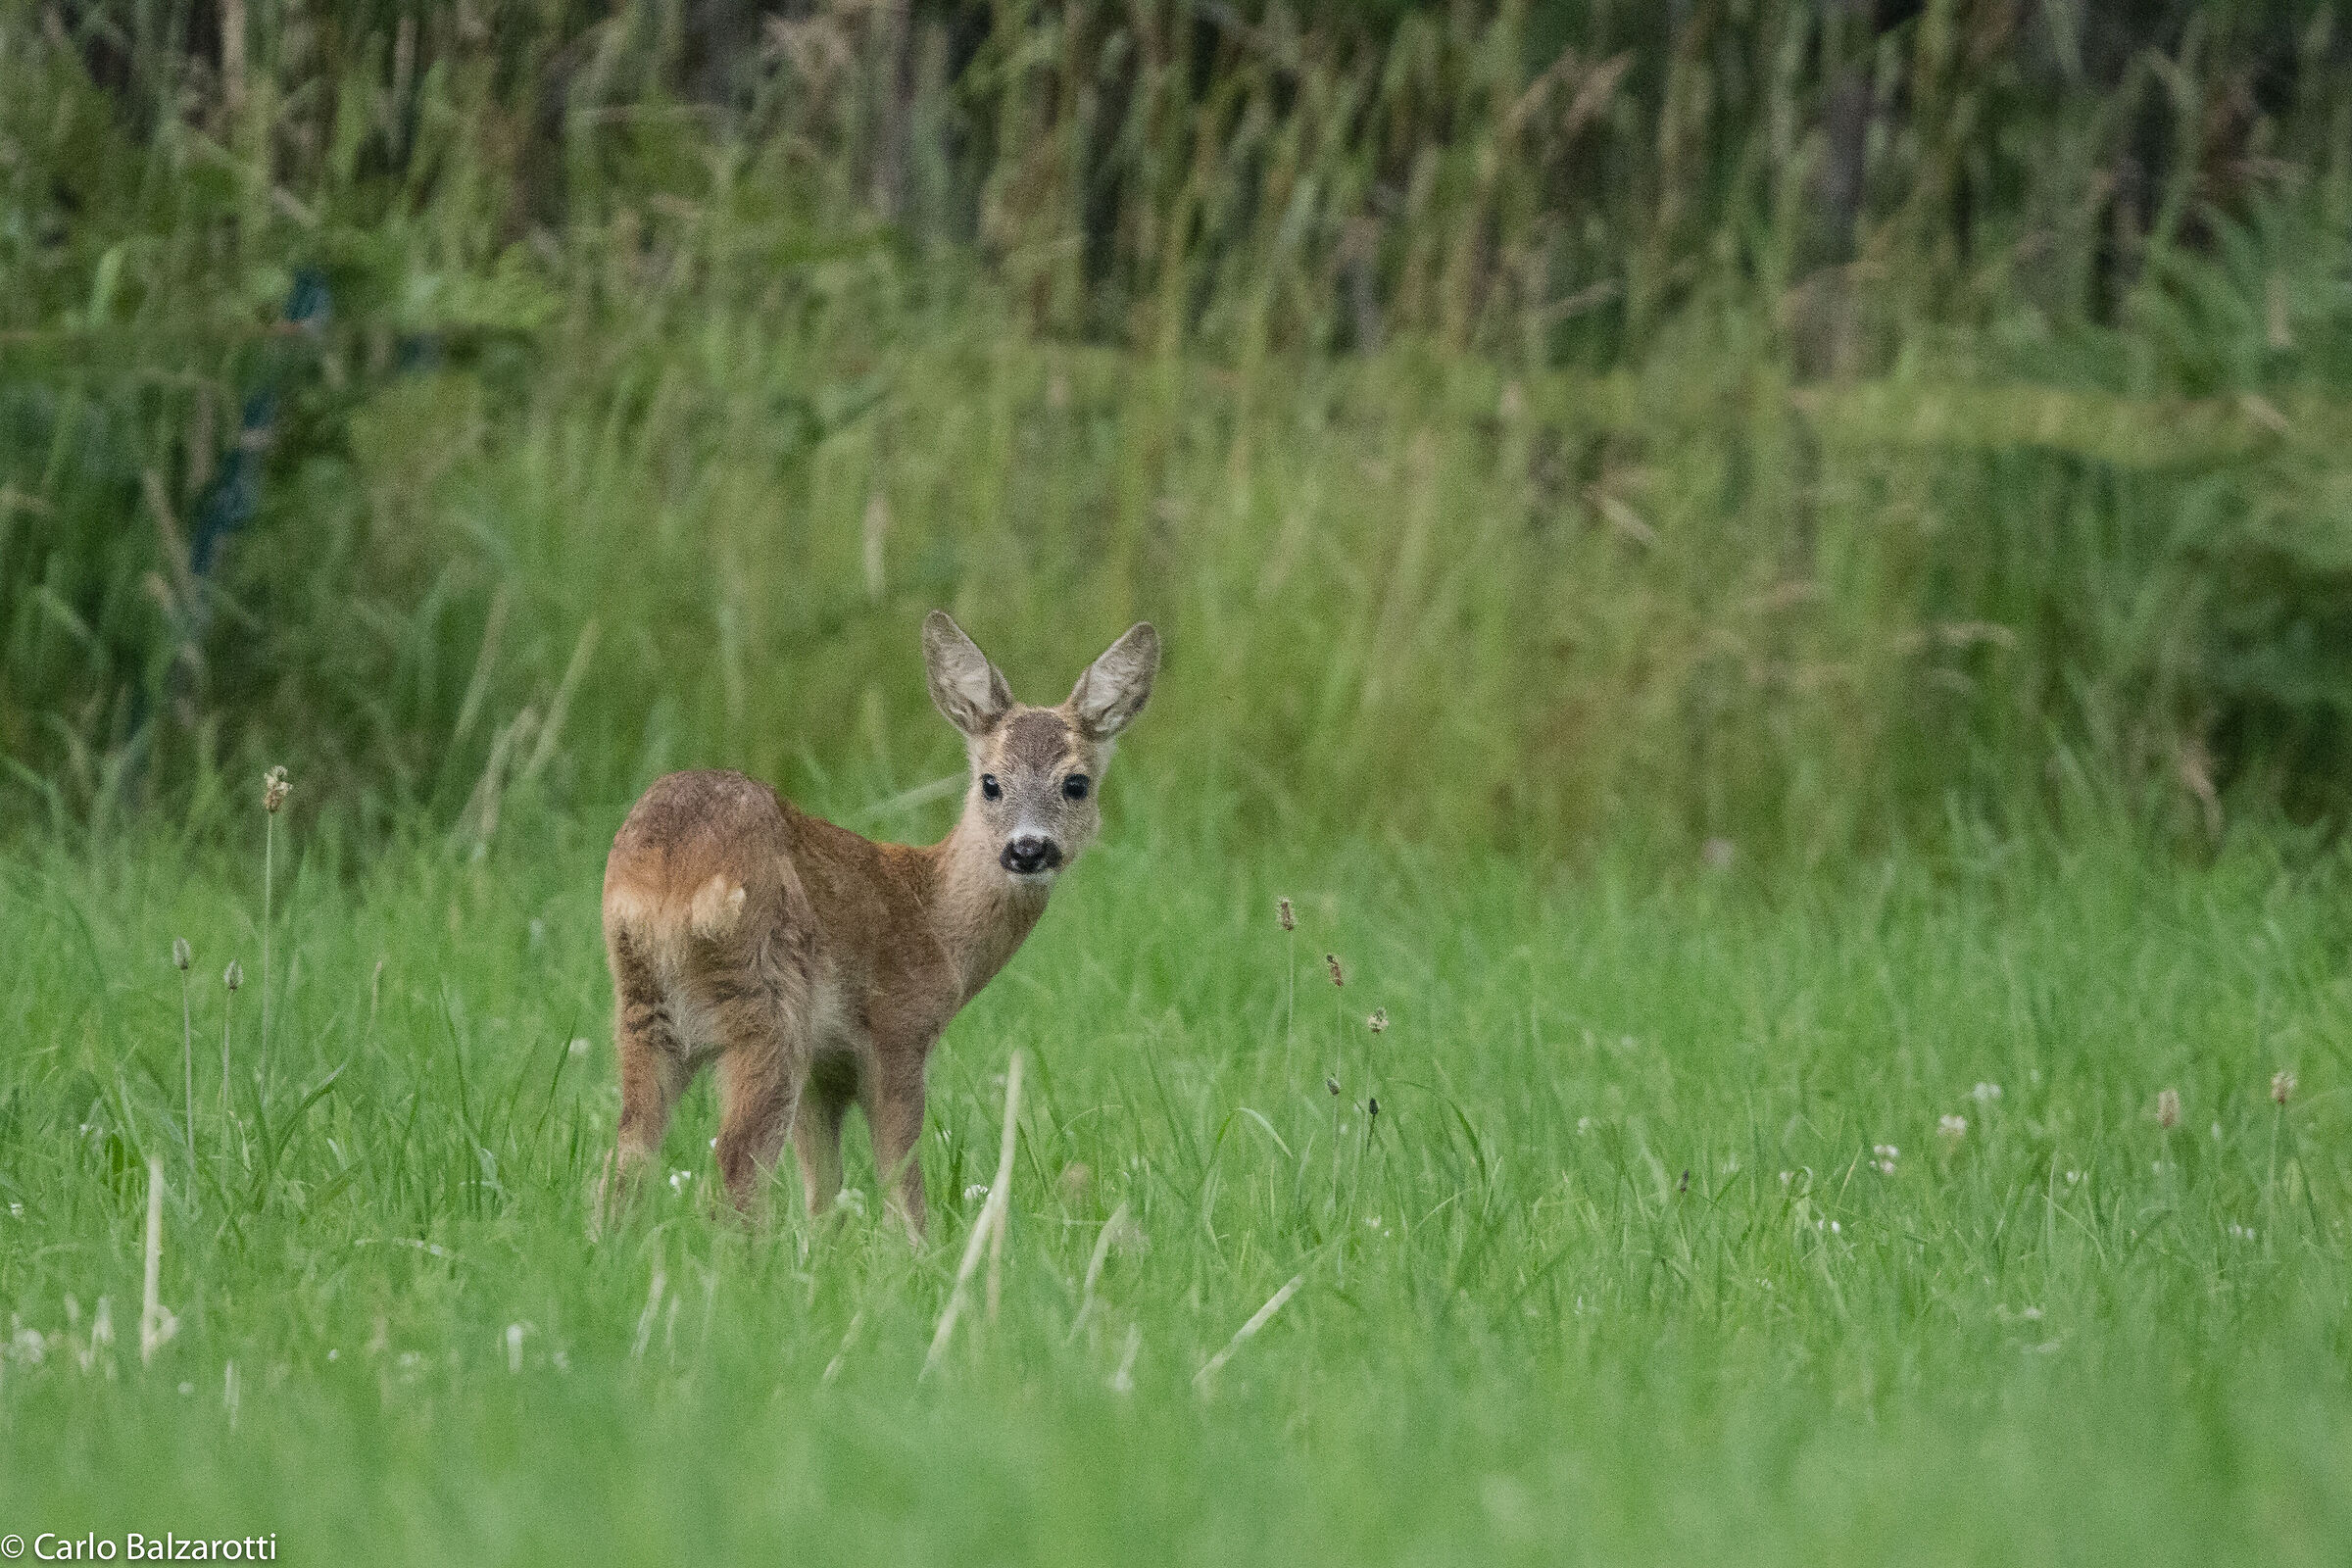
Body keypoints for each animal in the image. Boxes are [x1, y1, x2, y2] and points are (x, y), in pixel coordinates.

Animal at [595, 611, 1158, 1241]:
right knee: (736, 1160)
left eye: (1076, 784)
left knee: (628, 1153)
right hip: (768, 1001)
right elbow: (900, 1172)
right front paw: (917, 1249)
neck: (934, 917)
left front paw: (823, 1249)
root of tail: (667, 874)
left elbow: (823, 1188)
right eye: (990, 782)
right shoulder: (899, 1028)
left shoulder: (824, 1070)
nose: (1028, 849)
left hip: (643, 1004)